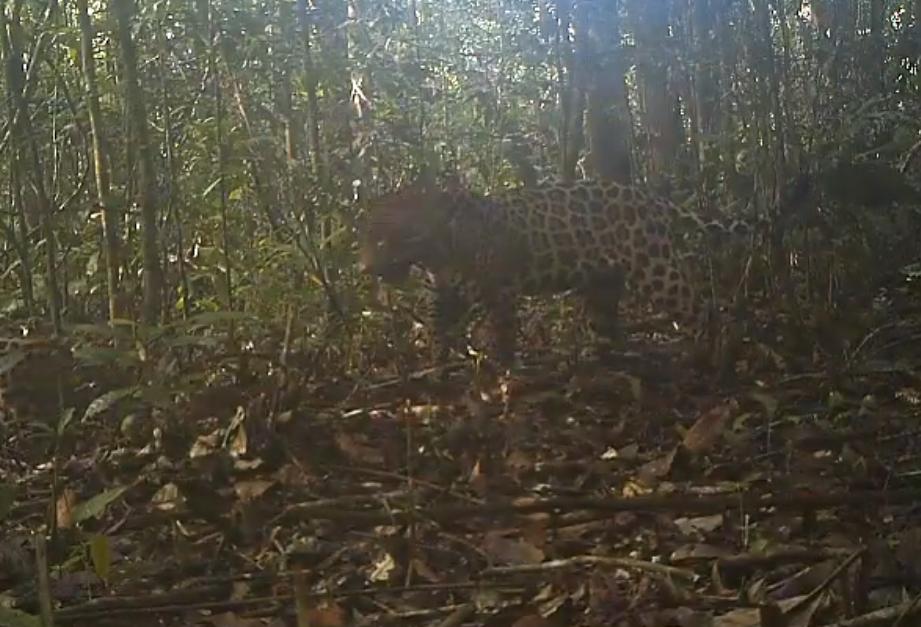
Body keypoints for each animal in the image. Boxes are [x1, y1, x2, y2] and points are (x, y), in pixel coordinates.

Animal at [358, 178, 743, 368]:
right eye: (367, 237)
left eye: (386, 238)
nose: (366, 269)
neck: (435, 251)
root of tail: (652, 199)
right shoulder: (442, 294)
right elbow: (438, 329)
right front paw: (435, 369)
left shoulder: (501, 289)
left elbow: (502, 331)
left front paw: (503, 371)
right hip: (603, 280)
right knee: (605, 323)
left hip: (655, 269)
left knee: (702, 307)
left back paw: (715, 357)